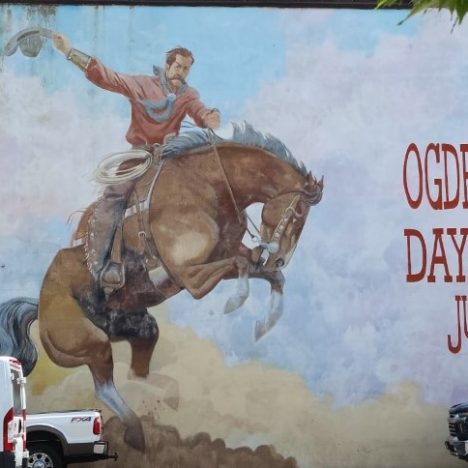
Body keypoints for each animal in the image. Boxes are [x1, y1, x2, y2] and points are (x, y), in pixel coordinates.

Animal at [0, 122, 322, 452]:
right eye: (298, 214)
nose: (281, 258)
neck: (206, 188)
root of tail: (40, 306)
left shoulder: (226, 260)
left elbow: (268, 275)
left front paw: (264, 324)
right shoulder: (191, 278)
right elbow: (245, 267)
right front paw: (237, 301)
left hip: (140, 328)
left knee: (137, 373)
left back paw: (167, 399)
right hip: (91, 342)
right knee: (105, 388)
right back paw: (136, 431)